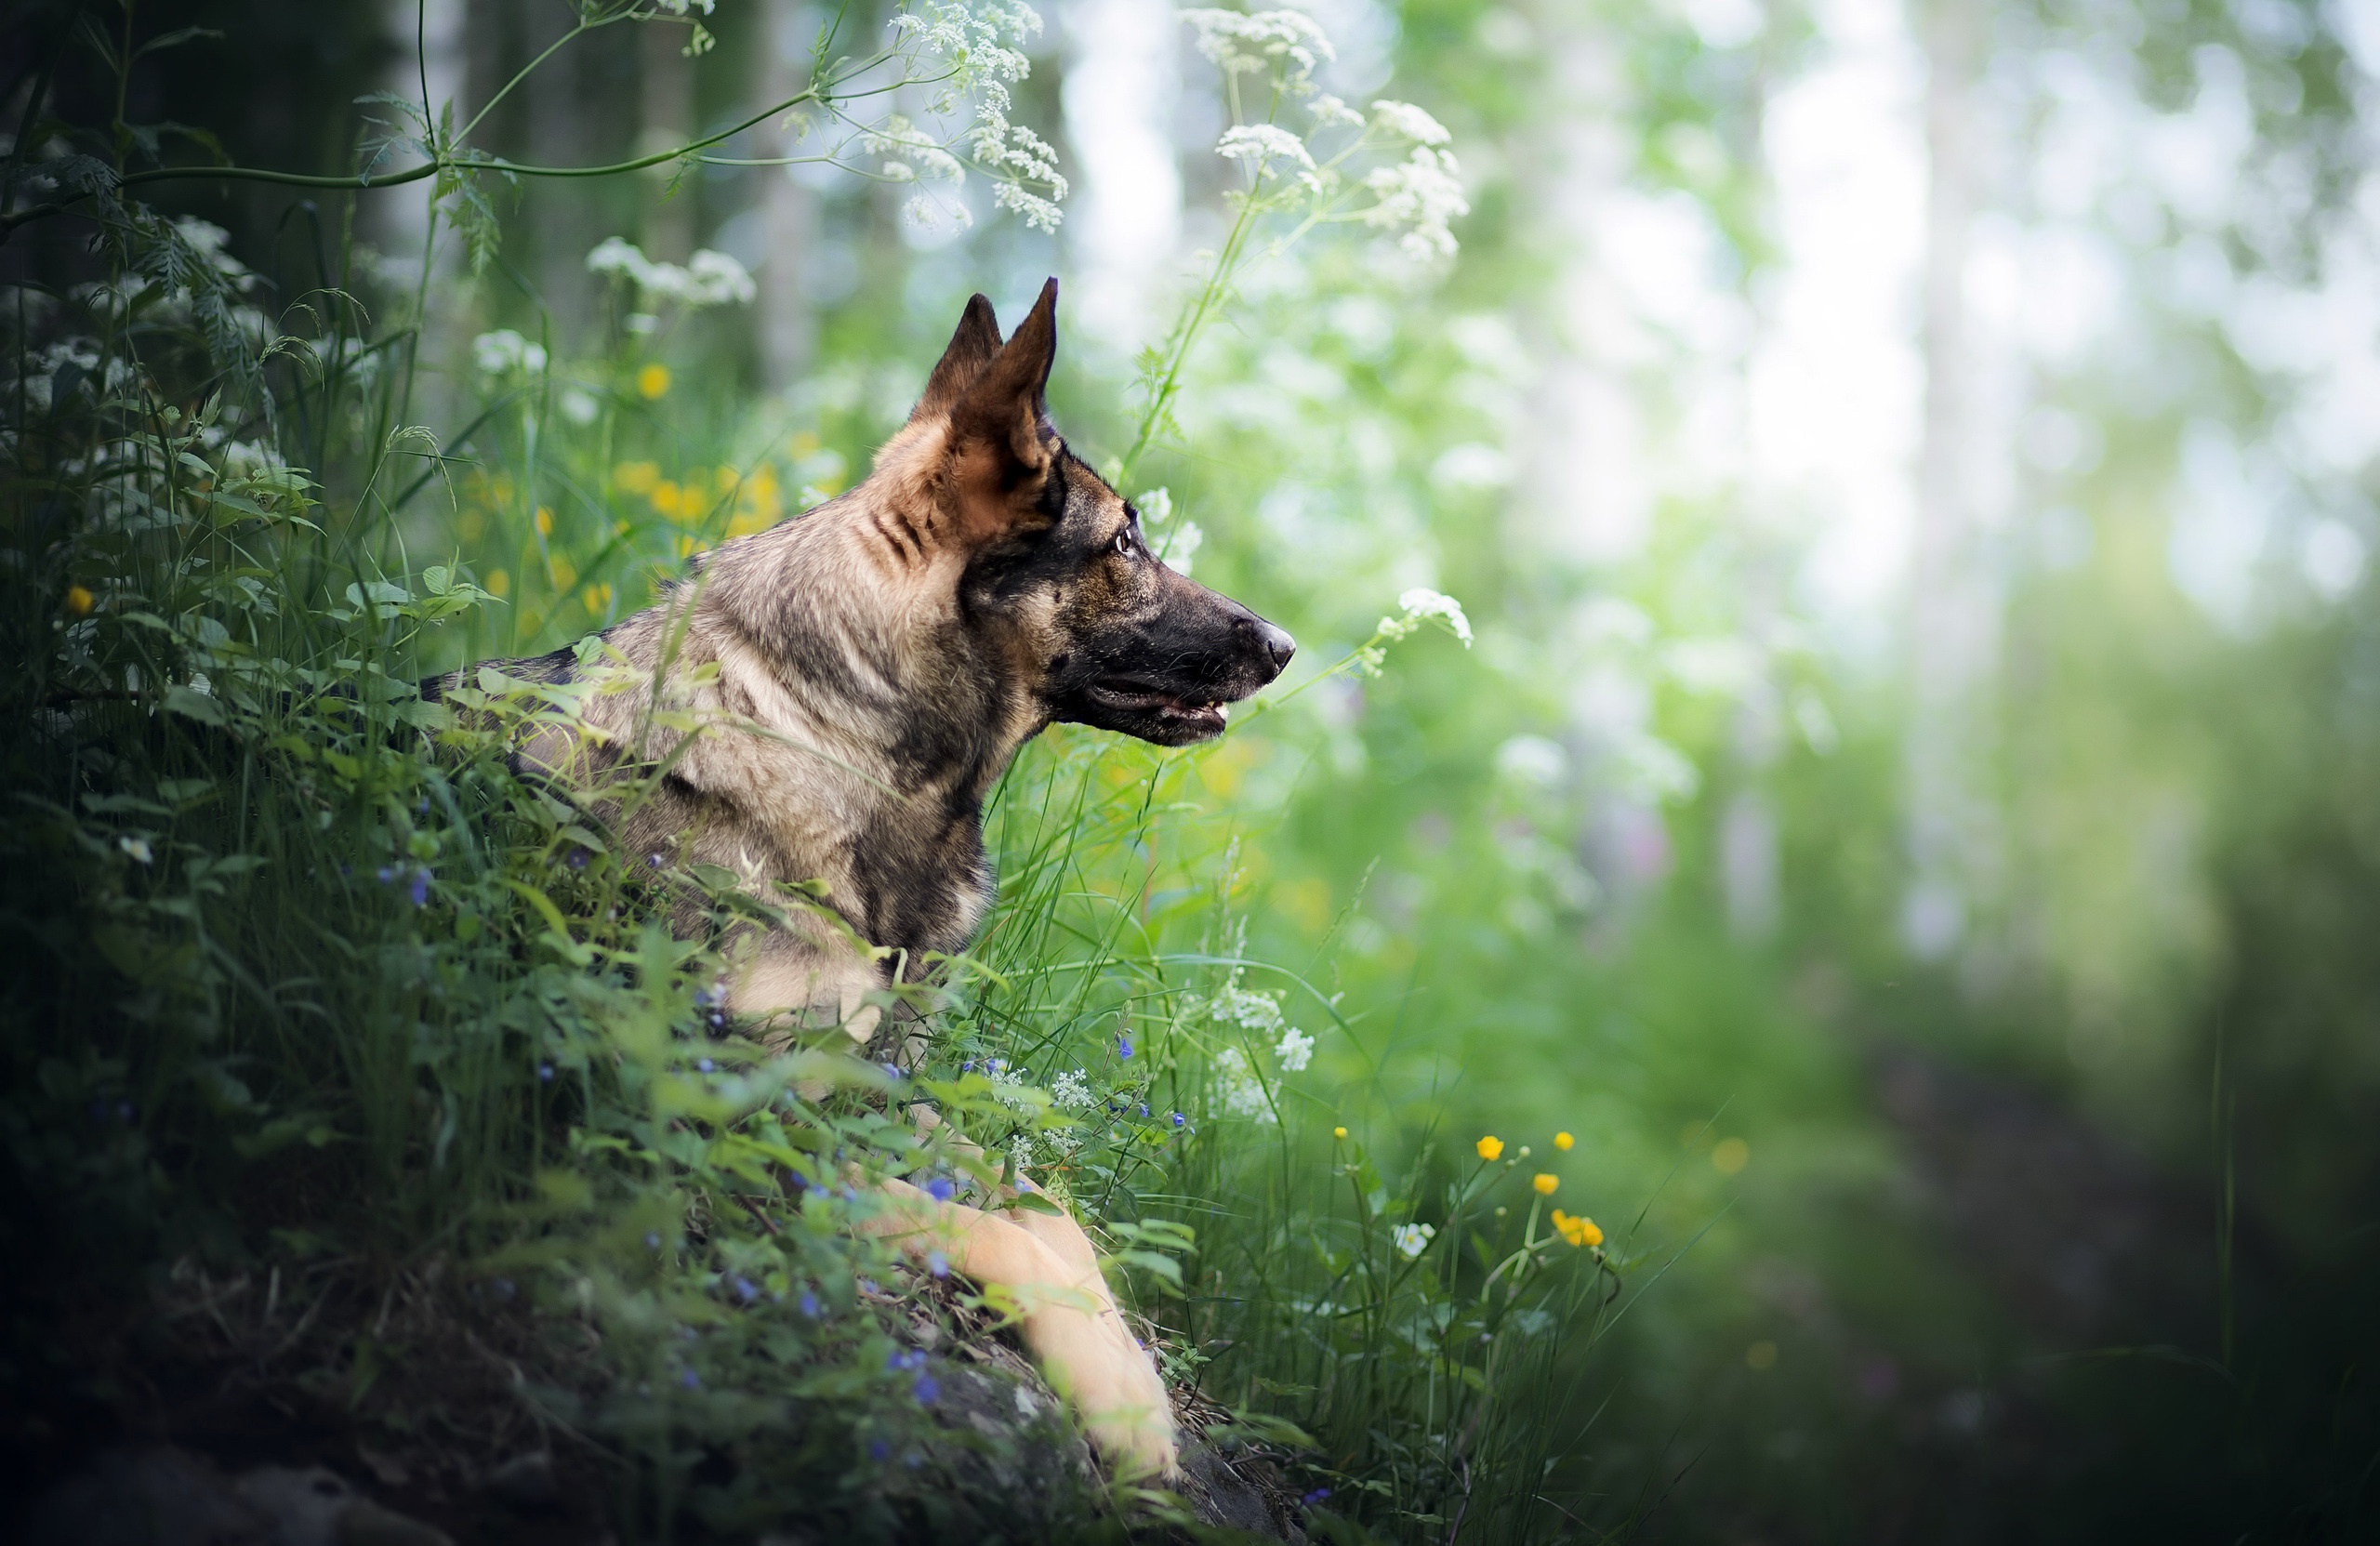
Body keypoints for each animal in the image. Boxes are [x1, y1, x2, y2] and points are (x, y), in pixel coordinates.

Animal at [476, 283, 1294, 1474]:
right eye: (1123, 542)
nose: (1283, 645)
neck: (834, 738)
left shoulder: (883, 1089)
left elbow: (1052, 1213)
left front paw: (1122, 1367)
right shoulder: (735, 1100)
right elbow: (994, 1226)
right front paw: (1123, 1407)